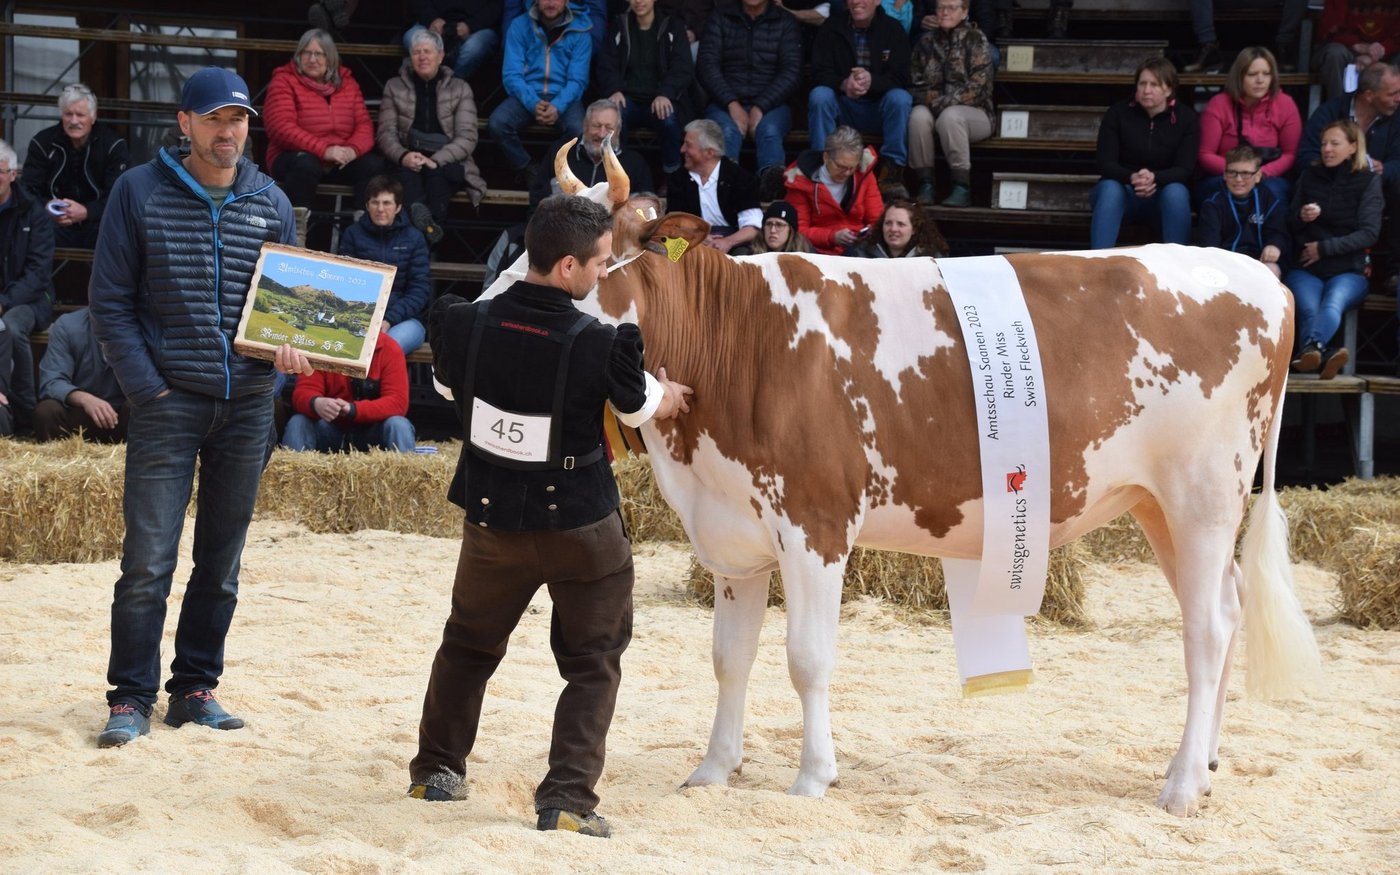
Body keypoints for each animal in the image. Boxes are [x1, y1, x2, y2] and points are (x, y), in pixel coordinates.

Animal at [473, 144, 1321, 817]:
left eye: (589, 252)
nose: (482, 313)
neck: (737, 343)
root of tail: (1263, 280)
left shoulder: (814, 520)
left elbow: (807, 656)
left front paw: (813, 776)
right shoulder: (733, 532)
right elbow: (729, 656)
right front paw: (714, 768)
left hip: (1204, 496)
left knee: (1206, 629)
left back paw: (1179, 784)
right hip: (1158, 506)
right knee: (1227, 609)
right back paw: (1206, 765)